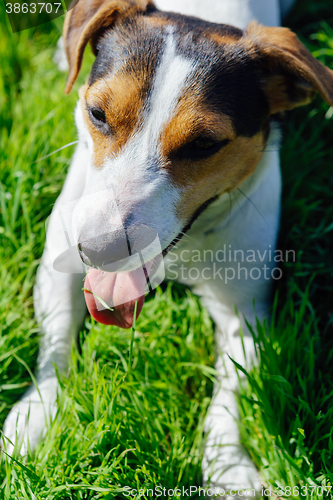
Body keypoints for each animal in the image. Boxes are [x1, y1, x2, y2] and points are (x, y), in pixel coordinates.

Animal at [2, 0, 332, 492]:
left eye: (204, 143)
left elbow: (230, 395)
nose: (100, 250)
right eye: (97, 113)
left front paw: (229, 467)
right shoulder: (59, 258)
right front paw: (33, 418)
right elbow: (56, 345)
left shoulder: (247, 314)